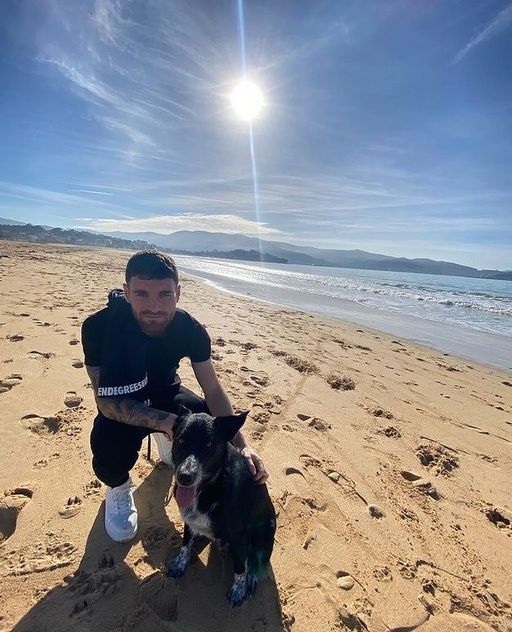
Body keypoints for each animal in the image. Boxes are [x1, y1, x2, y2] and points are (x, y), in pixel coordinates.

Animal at [166, 410, 276, 608]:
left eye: (209, 444)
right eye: (181, 440)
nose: (184, 477)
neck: (211, 487)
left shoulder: (238, 534)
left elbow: (240, 566)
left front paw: (238, 589)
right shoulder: (189, 519)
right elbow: (185, 543)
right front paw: (180, 563)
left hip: (265, 530)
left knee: (257, 558)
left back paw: (251, 577)